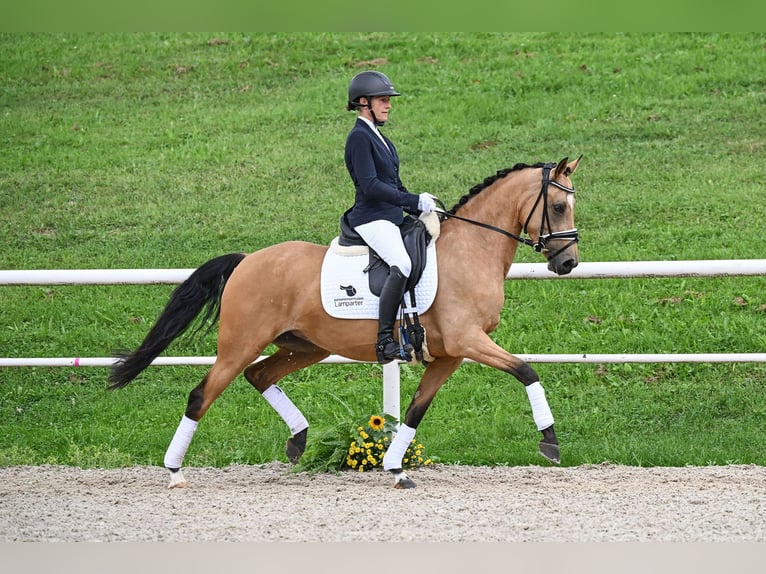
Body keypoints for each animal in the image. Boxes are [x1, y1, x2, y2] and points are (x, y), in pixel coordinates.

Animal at [109, 156, 584, 490]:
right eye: (559, 206)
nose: (567, 263)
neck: (471, 249)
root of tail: (247, 261)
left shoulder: (449, 354)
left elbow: (415, 411)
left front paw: (395, 468)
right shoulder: (468, 340)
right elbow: (527, 370)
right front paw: (550, 441)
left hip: (304, 346)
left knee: (259, 375)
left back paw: (298, 440)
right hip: (241, 344)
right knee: (201, 395)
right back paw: (175, 472)